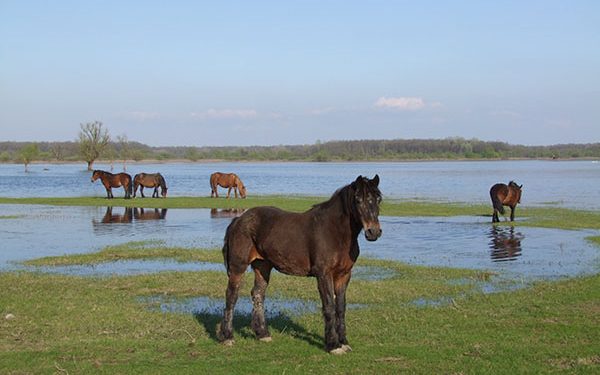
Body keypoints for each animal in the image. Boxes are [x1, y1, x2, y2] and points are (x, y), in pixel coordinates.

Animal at [218, 175, 382, 354]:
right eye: (358, 200)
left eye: (378, 199)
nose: (373, 232)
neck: (336, 233)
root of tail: (238, 220)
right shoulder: (323, 274)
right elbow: (329, 306)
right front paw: (333, 345)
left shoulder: (344, 275)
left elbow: (340, 307)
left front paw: (344, 342)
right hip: (238, 267)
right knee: (231, 296)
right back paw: (227, 337)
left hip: (263, 266)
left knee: (258, 294)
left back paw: (263, 334)